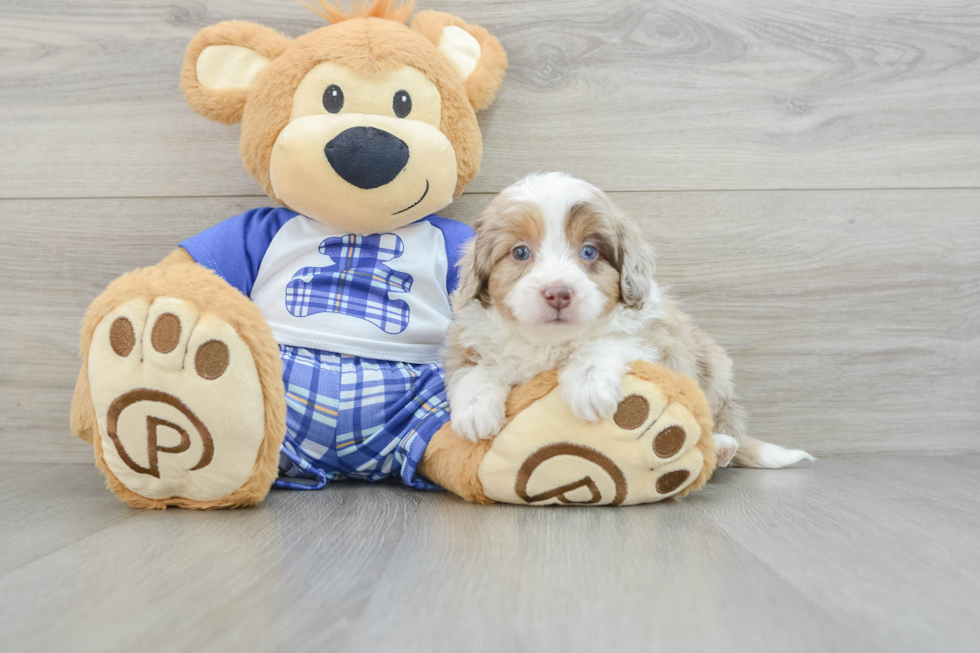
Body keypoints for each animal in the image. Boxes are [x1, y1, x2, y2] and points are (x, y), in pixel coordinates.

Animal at [444, 173, 812, 466]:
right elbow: (474, 369)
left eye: (589, 251)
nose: (558, 293)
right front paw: (474, 410)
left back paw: (722, 446)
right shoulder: (467, 338)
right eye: (520, 252)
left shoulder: (655, 337)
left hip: (713, 369)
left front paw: (589, 382)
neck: (551, 342)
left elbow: (609, 340)